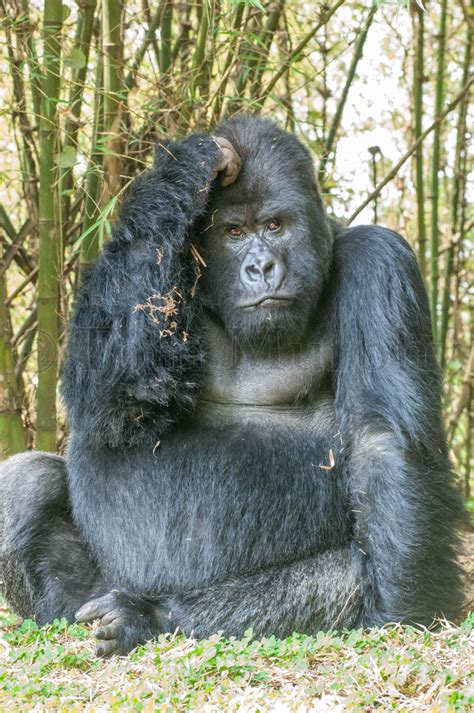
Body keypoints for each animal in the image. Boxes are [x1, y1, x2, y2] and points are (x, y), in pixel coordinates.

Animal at [0, 114, 462, 652]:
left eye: (275, 226)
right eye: (234, 232)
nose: (260, 268)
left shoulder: (379, 258)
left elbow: (380, 440)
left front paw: (403, 608)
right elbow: (112, 401)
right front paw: (190, 164)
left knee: (348, 573)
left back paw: (151, 616)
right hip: (92, 592)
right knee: (27, 481)